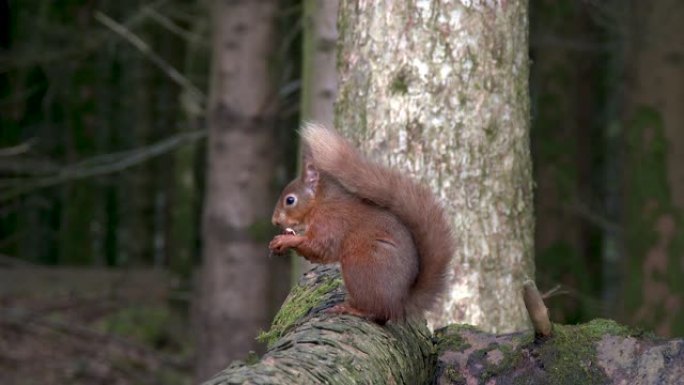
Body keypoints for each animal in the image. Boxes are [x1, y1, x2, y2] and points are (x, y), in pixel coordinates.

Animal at [268, 124, 454, 322]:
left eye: (290, 200)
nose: (275, 221)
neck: (320, 202)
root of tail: (399, 303)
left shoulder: (331, 221)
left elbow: (319, 247)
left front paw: (285, 240)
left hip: (360, 267)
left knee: (377, 311)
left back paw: (350, 309)